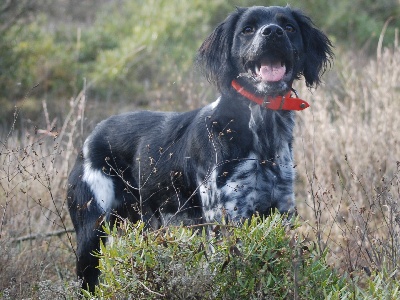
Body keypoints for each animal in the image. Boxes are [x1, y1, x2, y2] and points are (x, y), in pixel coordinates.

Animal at [67, 4, 332, 290]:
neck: (262, 129)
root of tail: (90, 137)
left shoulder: (282, 211)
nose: (272, 32)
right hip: (92, 232)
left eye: (289, 27)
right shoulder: (225, 218)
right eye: (248, 29)